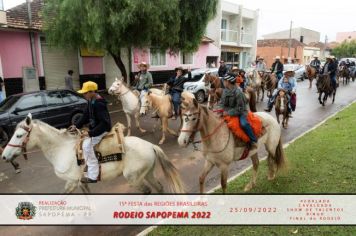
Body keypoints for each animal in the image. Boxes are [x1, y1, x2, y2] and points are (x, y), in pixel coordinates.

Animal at [2, 114, 186, 194]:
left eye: (19, 135)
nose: (4, 156)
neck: (62, 150)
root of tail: (150, 145)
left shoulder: (71, 182)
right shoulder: (81, 182)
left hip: (133, 177)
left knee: (147, 191)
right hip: (147, 174)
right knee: (159, 188)